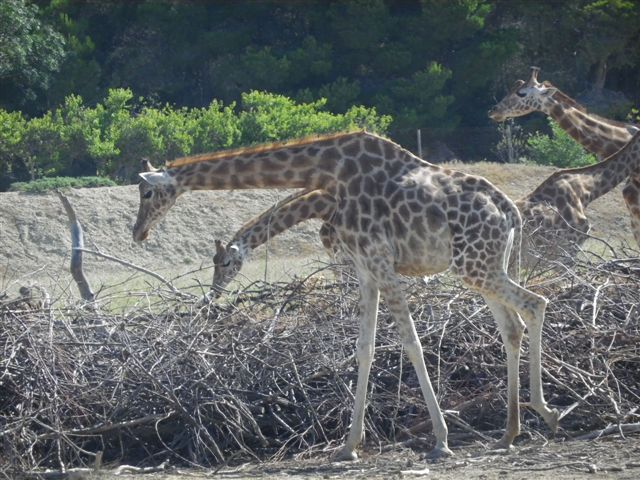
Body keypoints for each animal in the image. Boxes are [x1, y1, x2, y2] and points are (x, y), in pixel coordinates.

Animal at [132, 129, 556, 460]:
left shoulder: (379, 262)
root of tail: (510, 212)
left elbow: (412, 343)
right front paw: (349, 446)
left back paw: (544, 411)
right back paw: (510, 432)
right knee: (512, 325)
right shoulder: (365, 269)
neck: (328, 175)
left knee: (536, 303)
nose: (138, 233)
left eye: (147, 192)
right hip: (480, 267)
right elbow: (364, 348)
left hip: (476, 265)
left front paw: (441, 440)